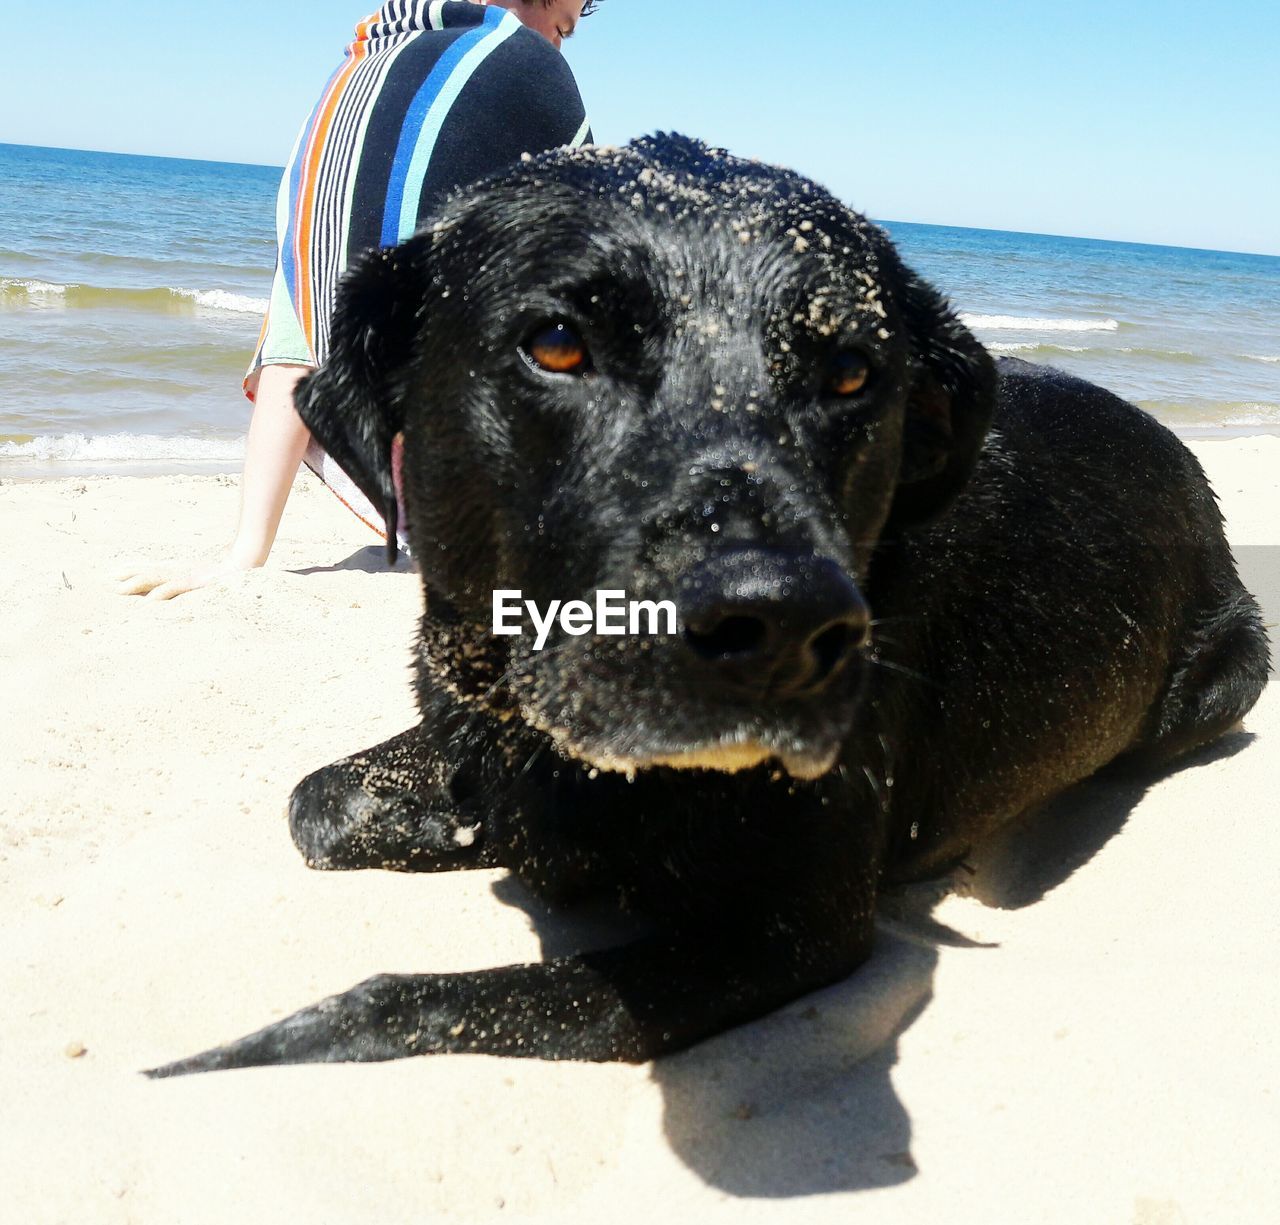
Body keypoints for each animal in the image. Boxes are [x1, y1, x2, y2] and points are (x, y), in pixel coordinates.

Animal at [147, 129, 1259, 1075]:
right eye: (557, 343)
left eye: (852, 372)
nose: (778, 629)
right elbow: (318, 799)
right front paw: (461, 827)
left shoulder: (792, 927)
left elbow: (394, 999)